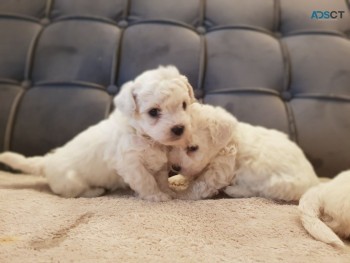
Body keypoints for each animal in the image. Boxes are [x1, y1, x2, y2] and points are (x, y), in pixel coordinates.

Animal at [0, 66, 196, 202]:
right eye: (154, 112)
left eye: (184, 105)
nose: (179, 128)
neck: (143, 135)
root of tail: (47, 161)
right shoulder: (130, 164)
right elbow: (146, 180)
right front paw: (157, 196)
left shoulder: (160, 164)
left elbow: (161, 179)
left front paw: (168, 191)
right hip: (71, 181)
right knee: (72, 193)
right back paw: (95, 190)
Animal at [169, 103, 320, 202]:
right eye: (171, 146)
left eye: (193, 148)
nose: (174, 167)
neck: (225, 144)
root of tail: (315, 182)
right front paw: (176, 179)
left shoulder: (217, 172)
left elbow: (197, 186)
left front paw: (177, 194)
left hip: (277, 184)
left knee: (259, 191)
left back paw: (234, 190)